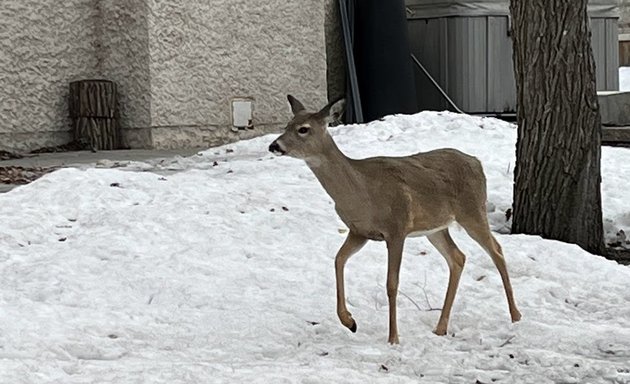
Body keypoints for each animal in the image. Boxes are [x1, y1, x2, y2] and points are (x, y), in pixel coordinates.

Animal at [272, 94, 524, 344]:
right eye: (286, 125)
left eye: (303, 129)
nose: (274, 145)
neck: (361, 191)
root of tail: (476, 162)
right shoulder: (359, 232)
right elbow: (338, 260)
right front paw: (349, 321)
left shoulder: (397, 228)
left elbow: (391, 283)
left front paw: (393, 338)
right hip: (436, 228)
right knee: (458, 257)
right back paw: (440, 328)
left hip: (472, 210)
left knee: (496, 251)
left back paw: (516, 316)